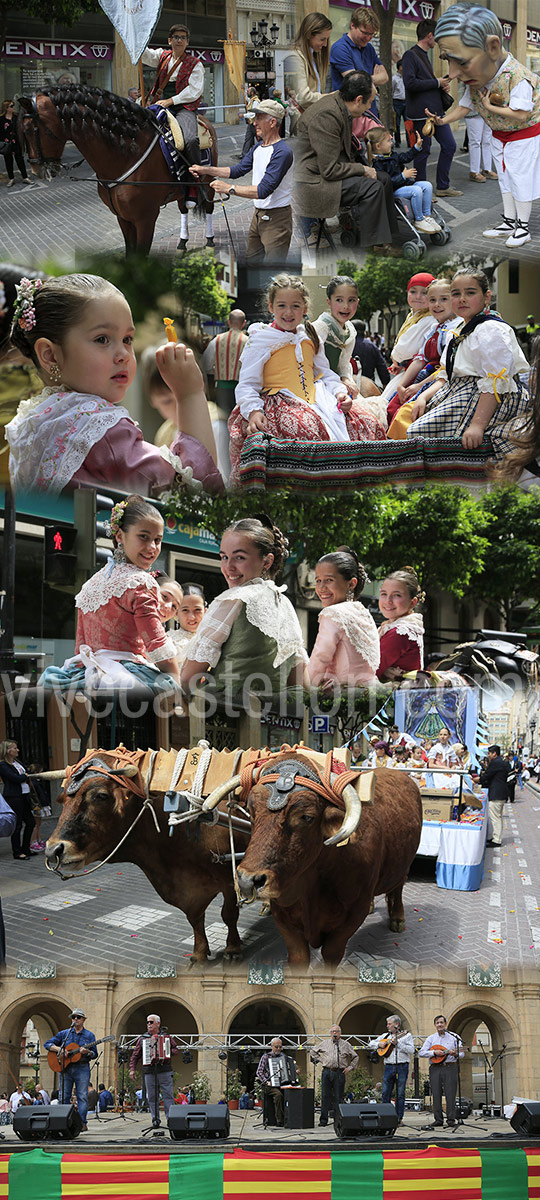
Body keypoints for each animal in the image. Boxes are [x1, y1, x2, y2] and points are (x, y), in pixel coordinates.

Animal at [18, 86, 217, 255]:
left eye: (28, 129)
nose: (35, 170)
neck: (127, 154)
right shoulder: (123, 218)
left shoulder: (146, 219)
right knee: (184, 208)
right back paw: (182, 243)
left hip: (209, 185)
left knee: (209, 207)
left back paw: (209, 241)